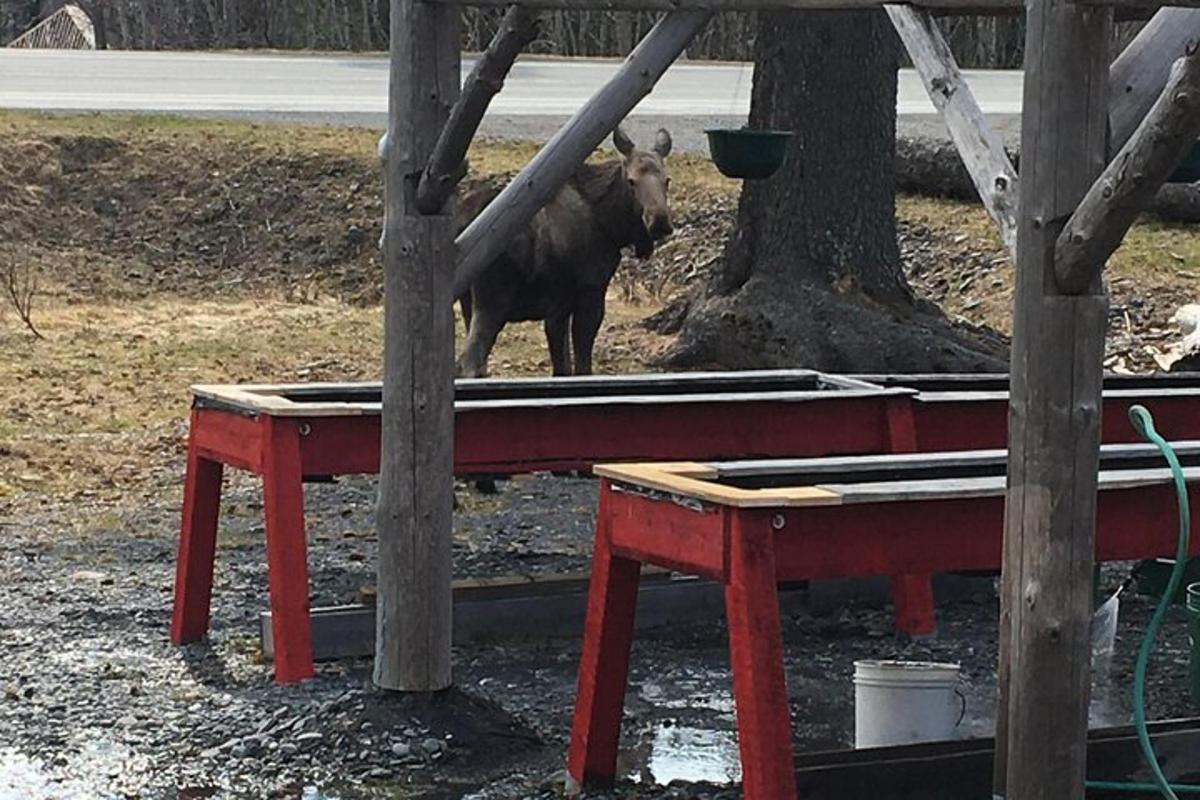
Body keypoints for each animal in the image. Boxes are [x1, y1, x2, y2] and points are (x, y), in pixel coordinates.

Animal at [454, 125, 674, 378]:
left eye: (667, 180)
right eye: (631, 181)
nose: (660, 222)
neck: (610, 226)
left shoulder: (558, 307)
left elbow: (562, 365)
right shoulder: (591, 290)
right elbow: (582, 365)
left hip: (468, 300)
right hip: (492, 301)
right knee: (469, 362)